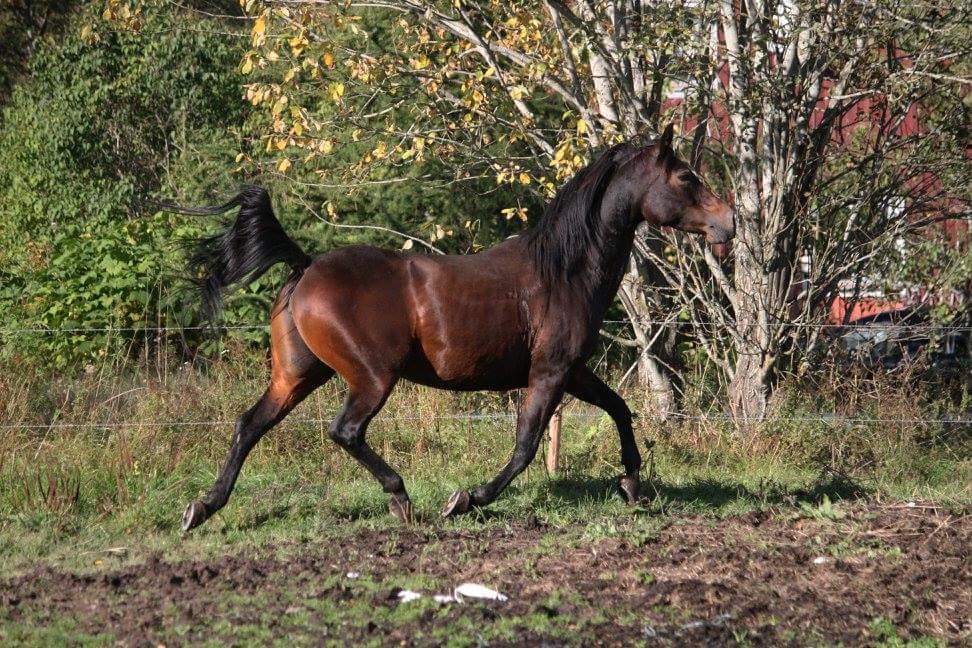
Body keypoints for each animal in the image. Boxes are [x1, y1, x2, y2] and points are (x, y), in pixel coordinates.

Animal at [177, 125, 734, 531]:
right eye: (686, 178)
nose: (727, 223)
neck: (565, 270)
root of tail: (306, 265)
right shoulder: (549, 374)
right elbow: (526, 445)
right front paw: (466, 499)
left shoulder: (573, 372)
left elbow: (620, 410)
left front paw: (634, 486)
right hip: (370, 378)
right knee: (345, 431)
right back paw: (402, 500)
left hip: (298, 374)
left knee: (250, 424)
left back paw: (202, 508)